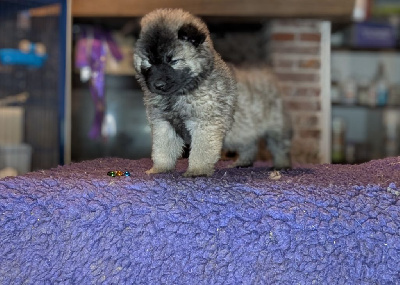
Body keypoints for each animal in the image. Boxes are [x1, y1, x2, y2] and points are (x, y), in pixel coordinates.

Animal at [133, 8, 292, 175]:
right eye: (148, 61)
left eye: (173, 61)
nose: (158, 84)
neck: (182, 93)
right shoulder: (163, 124)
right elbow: (163, 149)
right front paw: (160, 169)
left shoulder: (205, 123)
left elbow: (200, 150)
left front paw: (197, 170)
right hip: (247, 129)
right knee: (249, 145)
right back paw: (242, 163)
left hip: (276, 126)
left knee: (279, 147)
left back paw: (281, 165)